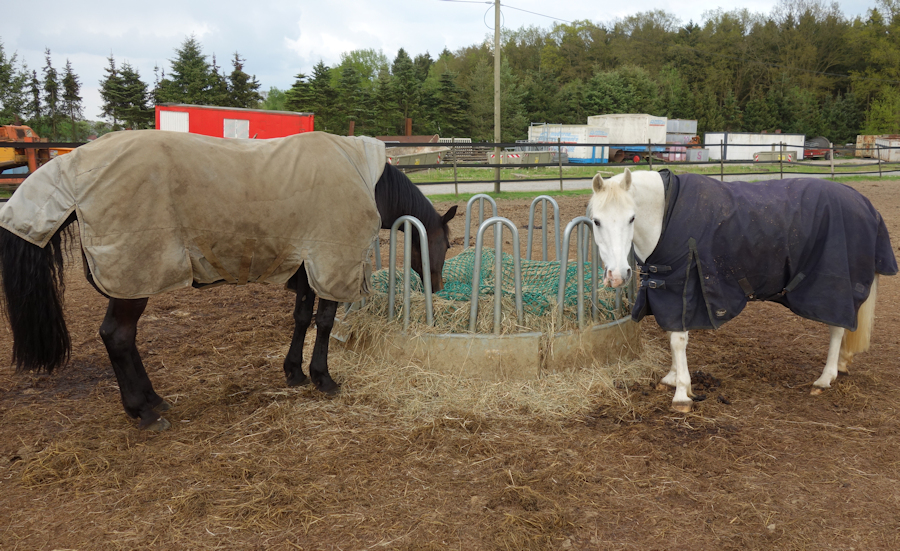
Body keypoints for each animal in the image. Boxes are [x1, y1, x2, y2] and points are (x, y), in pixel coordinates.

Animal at [0, 130, 457, 431]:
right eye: (448, 243)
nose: (437, 288)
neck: (364, 175)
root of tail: (72, 167)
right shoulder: (330, 265)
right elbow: (324, 323)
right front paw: (323, 378)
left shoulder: (306, 268)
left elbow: (301, 319)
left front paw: (294, 373)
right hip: (134, 278)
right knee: (117, 336)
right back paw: (143, 411)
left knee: (123, 340)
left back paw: (154, 401)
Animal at [588, 168, 897, 413]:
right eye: (596, 221)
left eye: (631, 218)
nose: (617, 275)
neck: (667, 212)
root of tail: (865, 204)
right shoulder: (667, 291)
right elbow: (671, 332)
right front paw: (673, 378)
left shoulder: (682, 288)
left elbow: (677, 339)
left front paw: (682, 393)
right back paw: (842, 365)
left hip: (834, 288)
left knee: (837, 327)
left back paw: (825, 378)